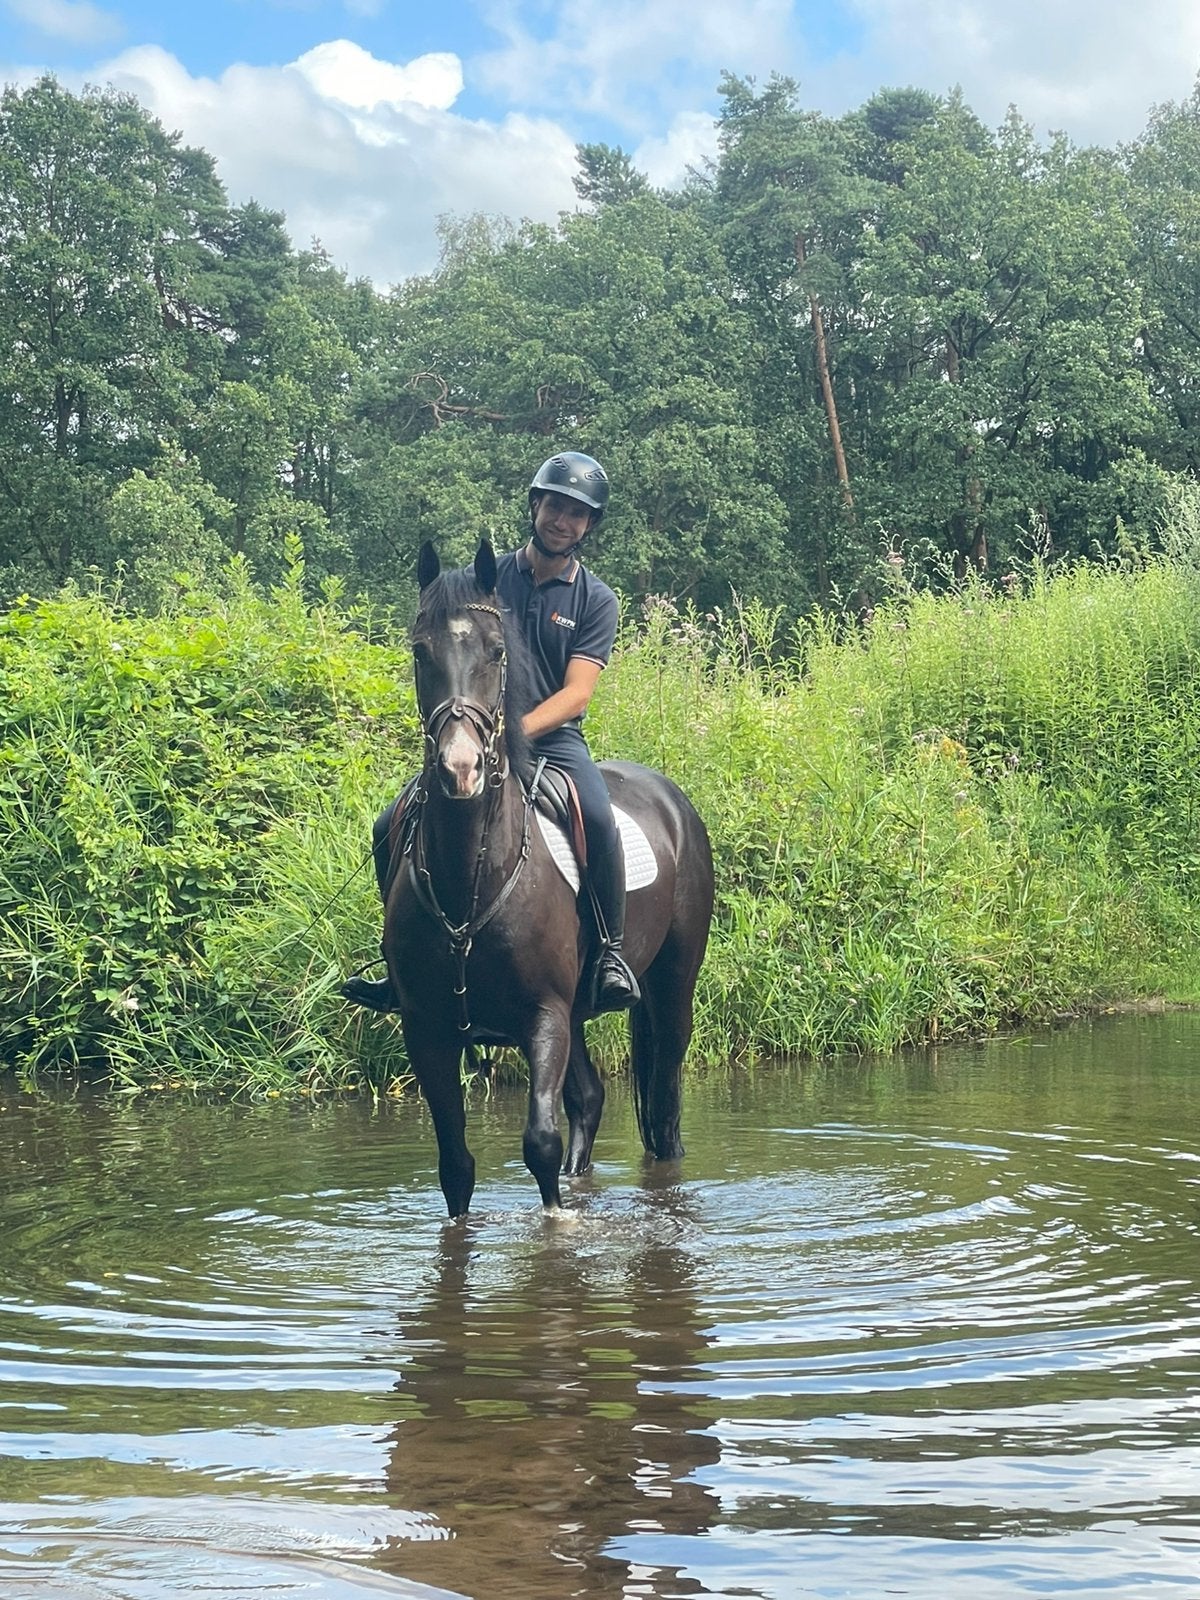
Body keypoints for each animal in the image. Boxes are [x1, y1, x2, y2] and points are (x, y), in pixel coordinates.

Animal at [381, 539, 715, 1218]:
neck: (472, 884)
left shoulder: (544, 1015)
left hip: (670, 989)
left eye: (496, 649)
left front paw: (560, 1224)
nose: (460, 769)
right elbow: (456, 1166)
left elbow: (539, 1141)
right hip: (580, 1012)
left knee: (664, 1111)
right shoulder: (426, 1027)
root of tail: (673, 800)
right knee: (588, 1100)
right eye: (420, 651)